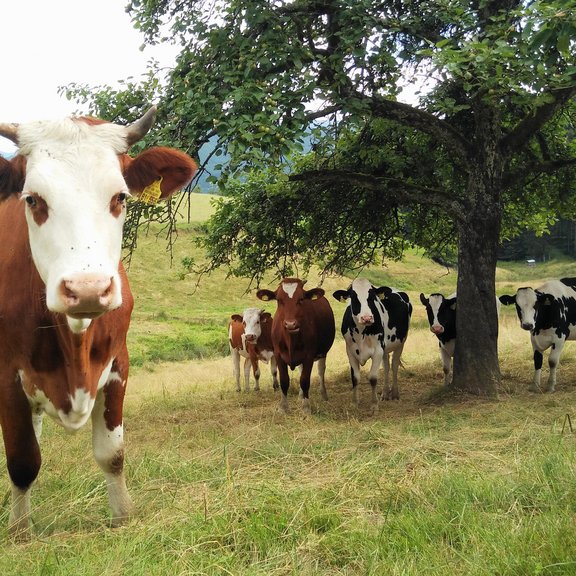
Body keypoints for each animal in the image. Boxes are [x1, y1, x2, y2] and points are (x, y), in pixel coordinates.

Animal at [0, 104, 197, 540]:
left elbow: (112, 454)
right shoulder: (6, 377)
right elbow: (22, 460)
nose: (87, 289)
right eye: (32, 199)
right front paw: (20, 531)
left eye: (120, 196)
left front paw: (123, 515)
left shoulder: (118, 364)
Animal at [258, 280, 336, 414]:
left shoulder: (309, 355)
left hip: (323, 352)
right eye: (279, 300)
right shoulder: (278, 354)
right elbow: (284, 380)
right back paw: (300, 396)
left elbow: (304, 380)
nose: (290, 324)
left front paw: (306, 407)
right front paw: (283, 407)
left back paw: (323, 395)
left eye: (301, 299)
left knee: (321, 371)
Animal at [330, 278, 412, 410]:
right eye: (353, 297)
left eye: (372, 296)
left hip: (401, 342)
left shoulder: (377, 350)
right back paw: (385, 393)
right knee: (386, 366)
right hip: (385, 348)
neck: (361, 332)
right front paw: (354, 402)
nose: (367, 318)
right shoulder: (350, 351)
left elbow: (373, 378)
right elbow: (355, 378)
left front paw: (374, 405)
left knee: (394, 365)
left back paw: (395, 394)